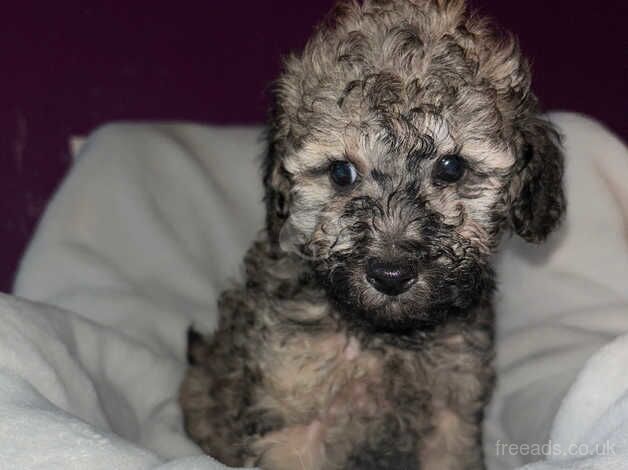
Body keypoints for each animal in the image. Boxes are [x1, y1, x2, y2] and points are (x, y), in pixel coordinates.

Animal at [179, 1, 568, 468]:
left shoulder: (451, 410)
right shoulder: (293, 407)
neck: (385, 336)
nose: (390, 275)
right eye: (341, 173)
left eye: (451, 167)